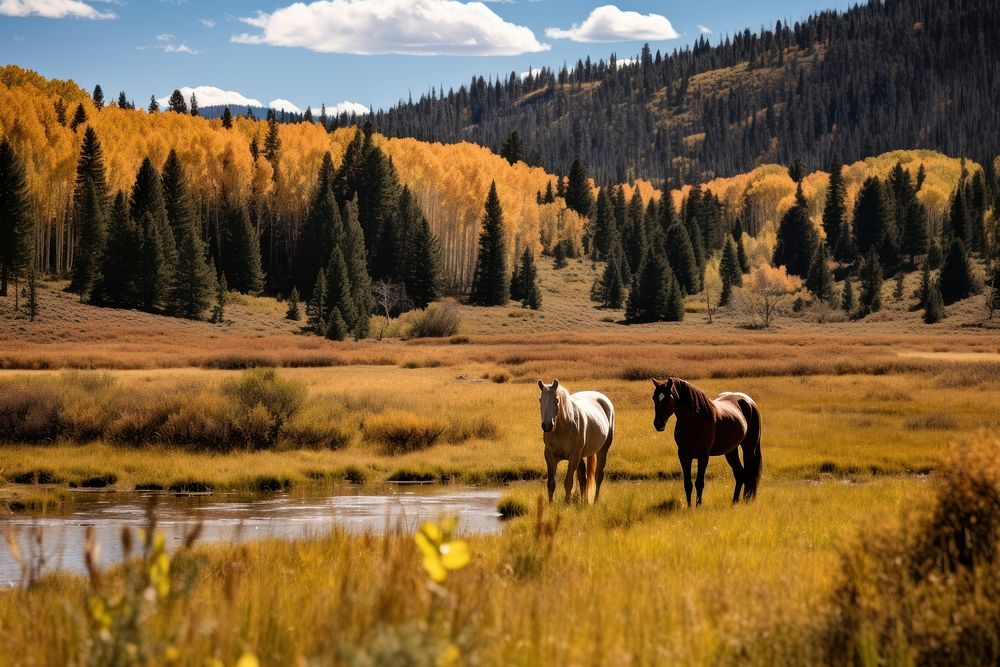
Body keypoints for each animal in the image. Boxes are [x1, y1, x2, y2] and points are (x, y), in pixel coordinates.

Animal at [652, 376, 760, 506]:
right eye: (654, 398)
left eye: (668, 398)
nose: (658, 424)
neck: (694, 422)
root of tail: (749, 402)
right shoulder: (683, 455)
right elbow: (688, 484)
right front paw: (689, 507)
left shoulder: (703, 455)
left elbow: (699, 483)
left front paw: (698, 506)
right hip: (731, 451)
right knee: (740, 474)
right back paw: (734, 501)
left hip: (749, 447)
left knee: (749, 474)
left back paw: (746, 500)